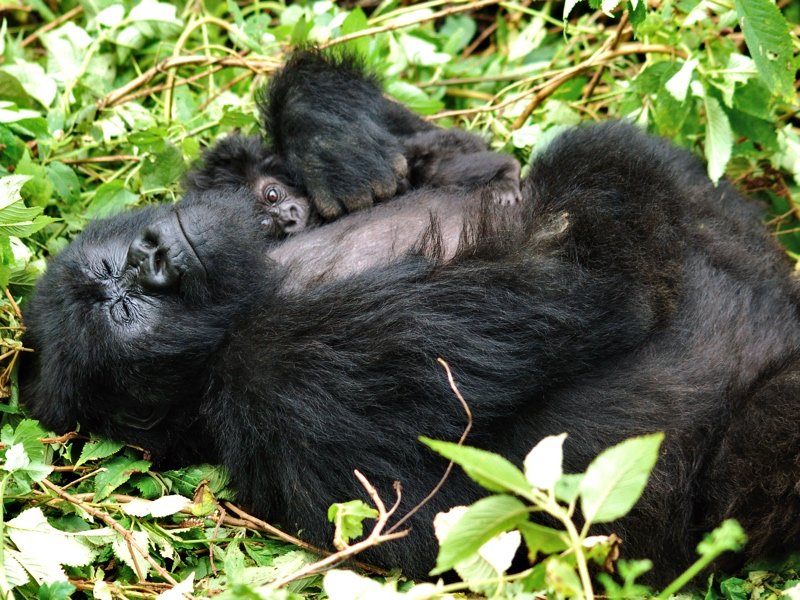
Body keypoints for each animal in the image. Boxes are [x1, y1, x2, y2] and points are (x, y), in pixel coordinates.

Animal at [17, 54, 800, 584]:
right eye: (124, 310)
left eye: (116, 271)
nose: (150, 258)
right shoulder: (275, 375)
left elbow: (470, 157)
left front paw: (325, 125)